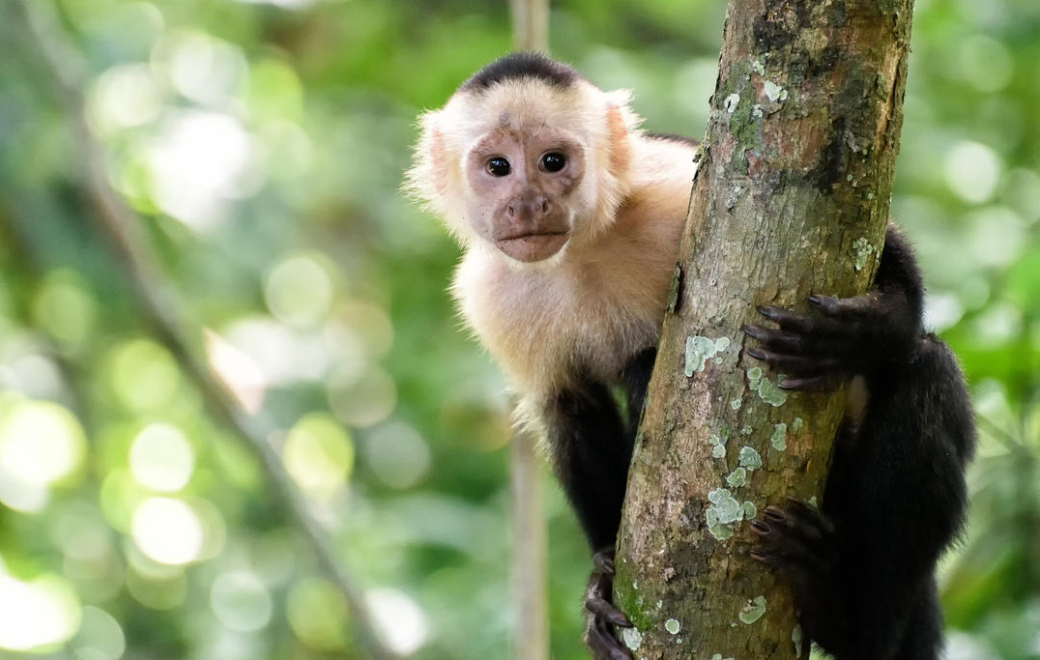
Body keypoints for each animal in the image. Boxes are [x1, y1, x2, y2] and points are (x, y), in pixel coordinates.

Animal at [401, 53, 969, 660]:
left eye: (553, 161)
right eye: (498, 166)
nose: (528, 204)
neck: (580, 252)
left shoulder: (671, 186)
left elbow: (881, 244)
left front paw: (866, 329)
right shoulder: (489, 296)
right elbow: (570, 409)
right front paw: (601, 578)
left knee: (927, 370)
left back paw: (849, 620)